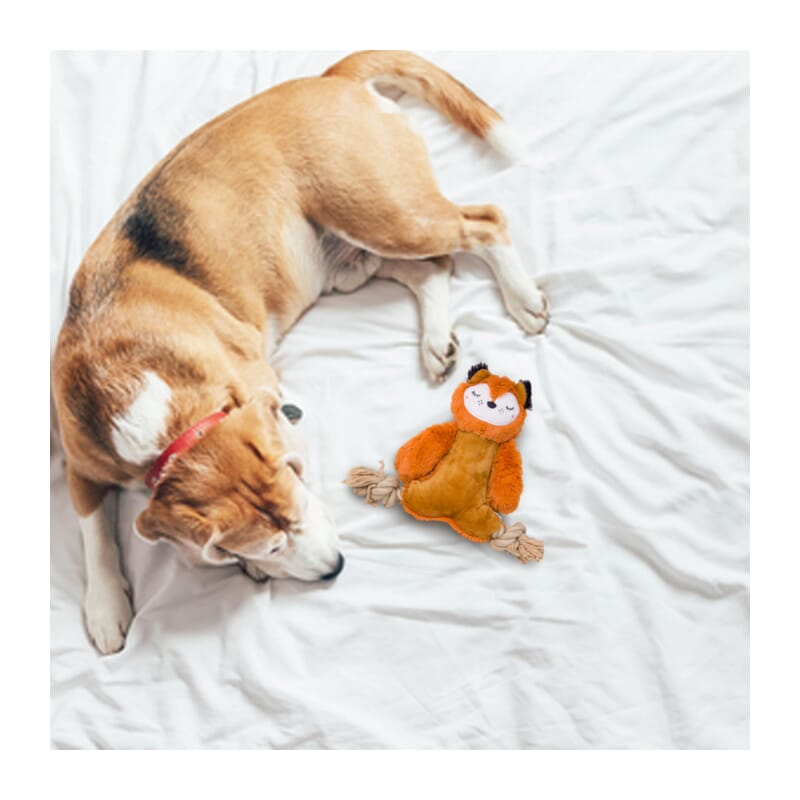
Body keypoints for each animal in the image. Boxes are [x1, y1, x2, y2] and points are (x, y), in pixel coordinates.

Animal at [52, 51, 549, 655]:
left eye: (293, 511)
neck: (143, 398)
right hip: (353, 259)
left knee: (485, 223)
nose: (336, 568)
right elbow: (92, 532)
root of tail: (328, 79)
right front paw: (105, 609)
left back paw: (523, 299)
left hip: (384, 214)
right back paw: (436, 341)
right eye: (268, 545)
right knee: (432, 270)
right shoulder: (79, 464)